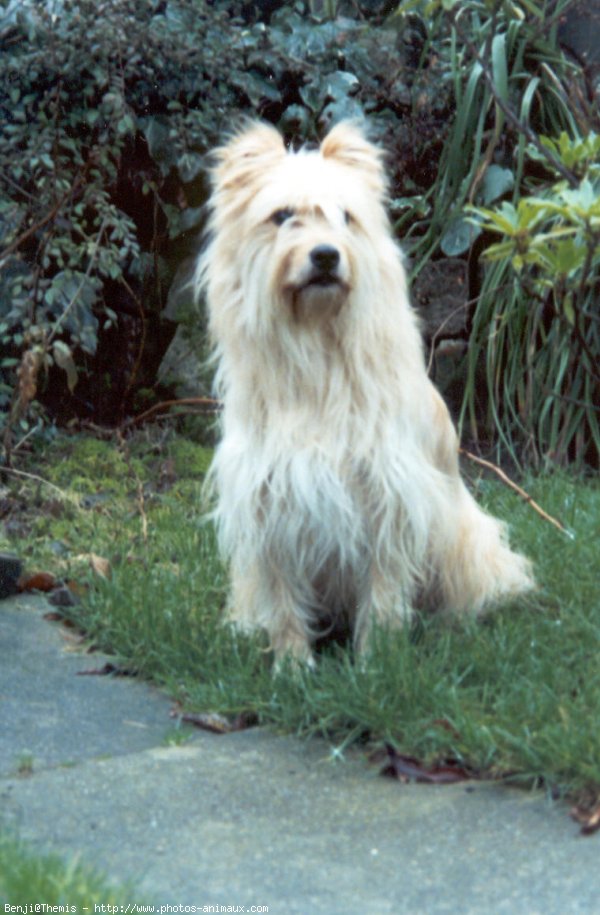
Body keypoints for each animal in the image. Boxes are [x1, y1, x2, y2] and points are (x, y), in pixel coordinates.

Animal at [196, 121, 536, 664]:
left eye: (345, 217)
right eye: (282, 216)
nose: (325, 255)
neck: (317, 347)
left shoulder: (387, 492)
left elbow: (383, 586)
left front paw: (378, 659)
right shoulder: (269, 500)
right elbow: (284, 595)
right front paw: (292, 663)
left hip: (465, 542)